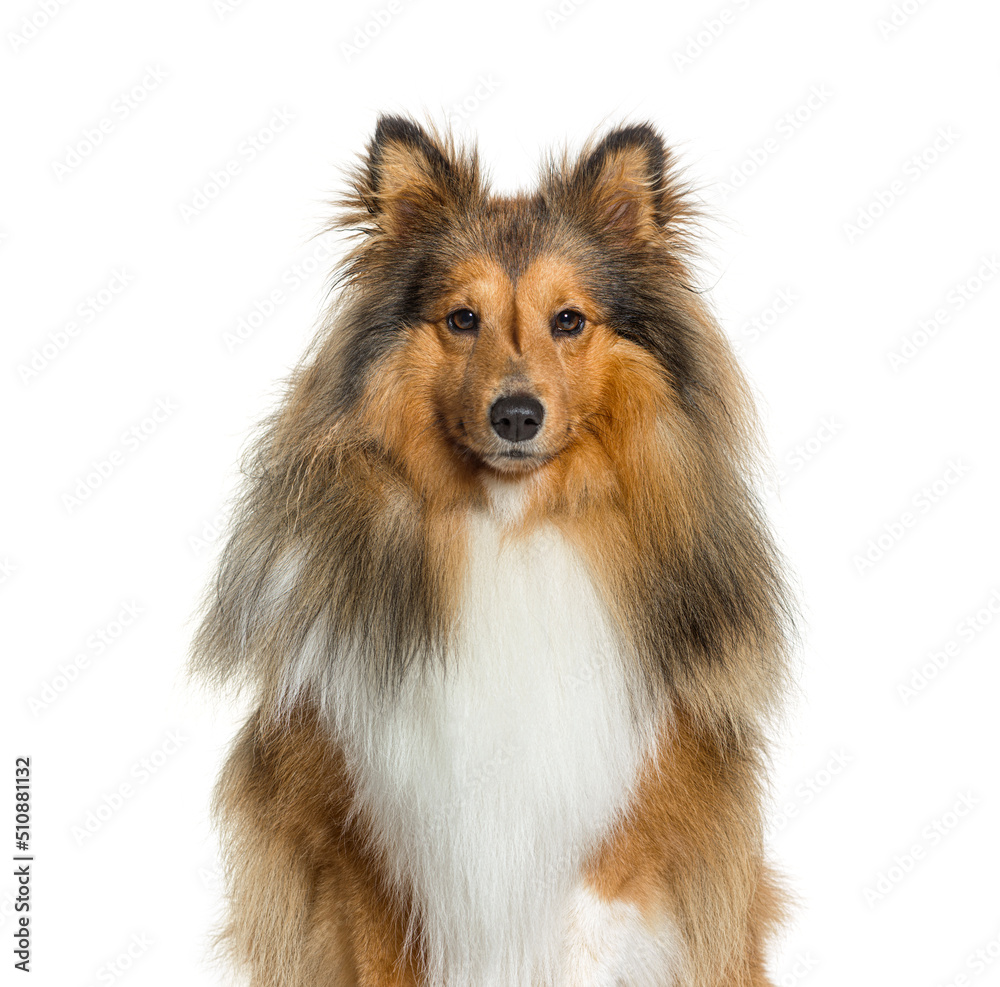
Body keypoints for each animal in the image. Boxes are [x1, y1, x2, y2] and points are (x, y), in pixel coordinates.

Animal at [191, 117, 792, 987]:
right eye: (461, 318)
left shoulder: (612, 851)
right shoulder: (361, 845)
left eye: (569, 320)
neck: (509, 526)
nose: (516, 416)